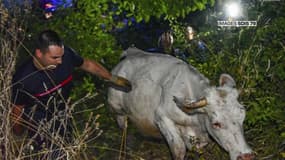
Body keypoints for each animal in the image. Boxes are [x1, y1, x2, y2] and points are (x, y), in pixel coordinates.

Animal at [107, 47, 253, 159]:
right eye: (216, 124)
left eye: (243, 117)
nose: (246, 156)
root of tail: (129, 54)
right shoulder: (161, 118)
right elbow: (179, 149)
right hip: (118, 110)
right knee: (124, 128)